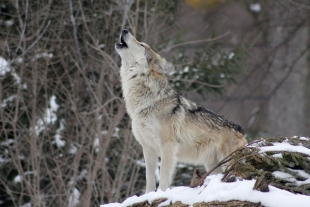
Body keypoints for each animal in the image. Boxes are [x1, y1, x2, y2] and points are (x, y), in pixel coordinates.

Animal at [115, 29, 248, 193]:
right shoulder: (148, 148)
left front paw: (161, 193)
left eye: (141, 44)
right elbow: (149, 179)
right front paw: (148, 195)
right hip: (213, 166)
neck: (146, 103)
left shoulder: (168, 146)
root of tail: (240, 129)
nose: (124, 30)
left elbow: (164, 176)